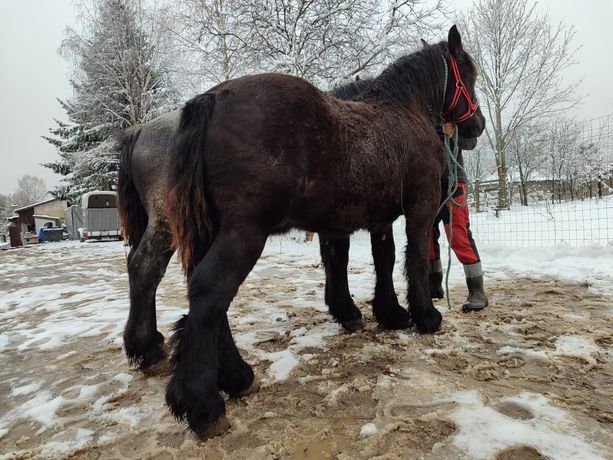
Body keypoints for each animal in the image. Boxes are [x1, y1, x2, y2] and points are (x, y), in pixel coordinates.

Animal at [160, 27, 486, 436]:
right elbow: (412, 259)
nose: (478, 126)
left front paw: (390, 314)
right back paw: (205, 406)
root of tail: (211, 99)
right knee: (210, 292)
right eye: (469, 75)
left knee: (210, 301)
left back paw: (235, 377)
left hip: (211, 233)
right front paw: (425, 316)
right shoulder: (420, 209)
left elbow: (383, 261)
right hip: (243, 234)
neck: (404, 111)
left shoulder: (379, 221)